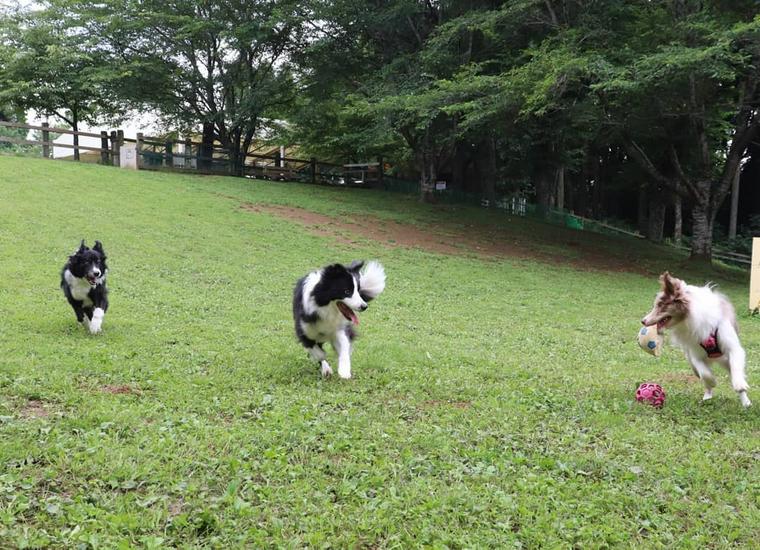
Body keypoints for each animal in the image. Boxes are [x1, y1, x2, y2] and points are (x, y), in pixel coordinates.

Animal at [644, 272, 752, 408]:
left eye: (660, 305)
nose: (643, 321)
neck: (688, 318)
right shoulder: (695, 355)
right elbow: (705, 374)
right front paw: (712, 382)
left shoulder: (733, 348)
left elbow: (736, 368)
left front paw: (739, 385)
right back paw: (707, 397)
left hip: (725, 360)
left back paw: (746, 402)